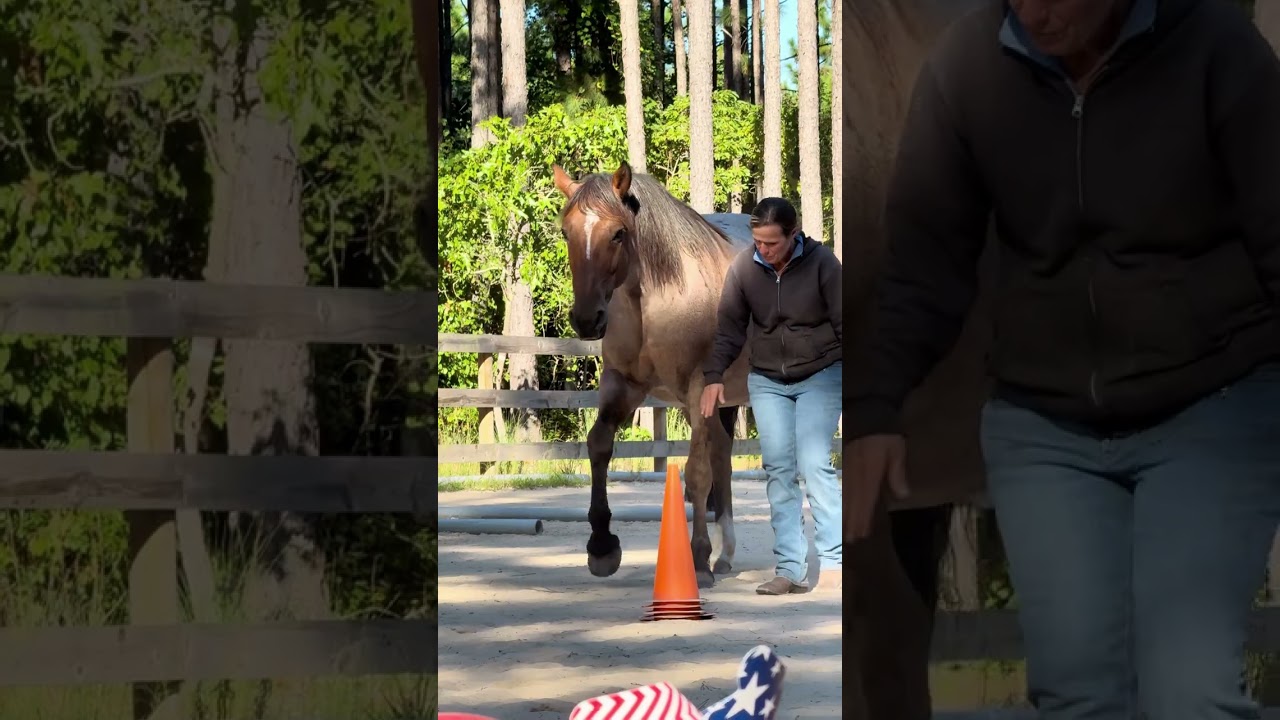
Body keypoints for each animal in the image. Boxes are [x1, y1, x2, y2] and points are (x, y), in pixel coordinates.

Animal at [552, 161, 753, 588]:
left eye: (618, 233)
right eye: (566, 232)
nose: (587, 319)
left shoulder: (698, 389)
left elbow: (696, 475)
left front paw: (698, 560)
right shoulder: (622, 385)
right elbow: (599, 446)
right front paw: (602, 546)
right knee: (723, 457)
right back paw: (726, 555)